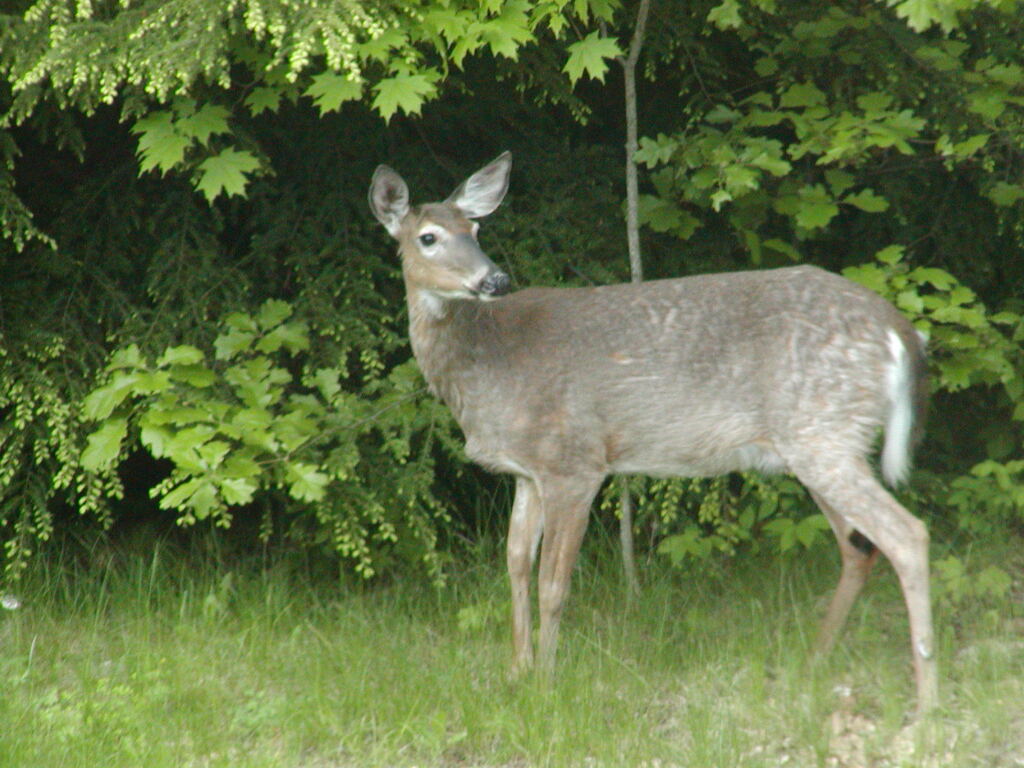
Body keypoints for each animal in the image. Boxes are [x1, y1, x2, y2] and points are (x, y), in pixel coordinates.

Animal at [368, 151, 937, 716]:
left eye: (476, 229)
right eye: (428, 237)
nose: (495, 280)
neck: (485, 368)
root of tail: (901, 331)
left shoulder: (575, 460)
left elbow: (554, 582)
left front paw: (546, 685)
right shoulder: (527, 471)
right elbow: (515, 566)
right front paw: (516, 671)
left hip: (824, 430)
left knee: (907, 534)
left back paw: (926, 699)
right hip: (817, 442)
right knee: (858, 546)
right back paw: (814, 661)